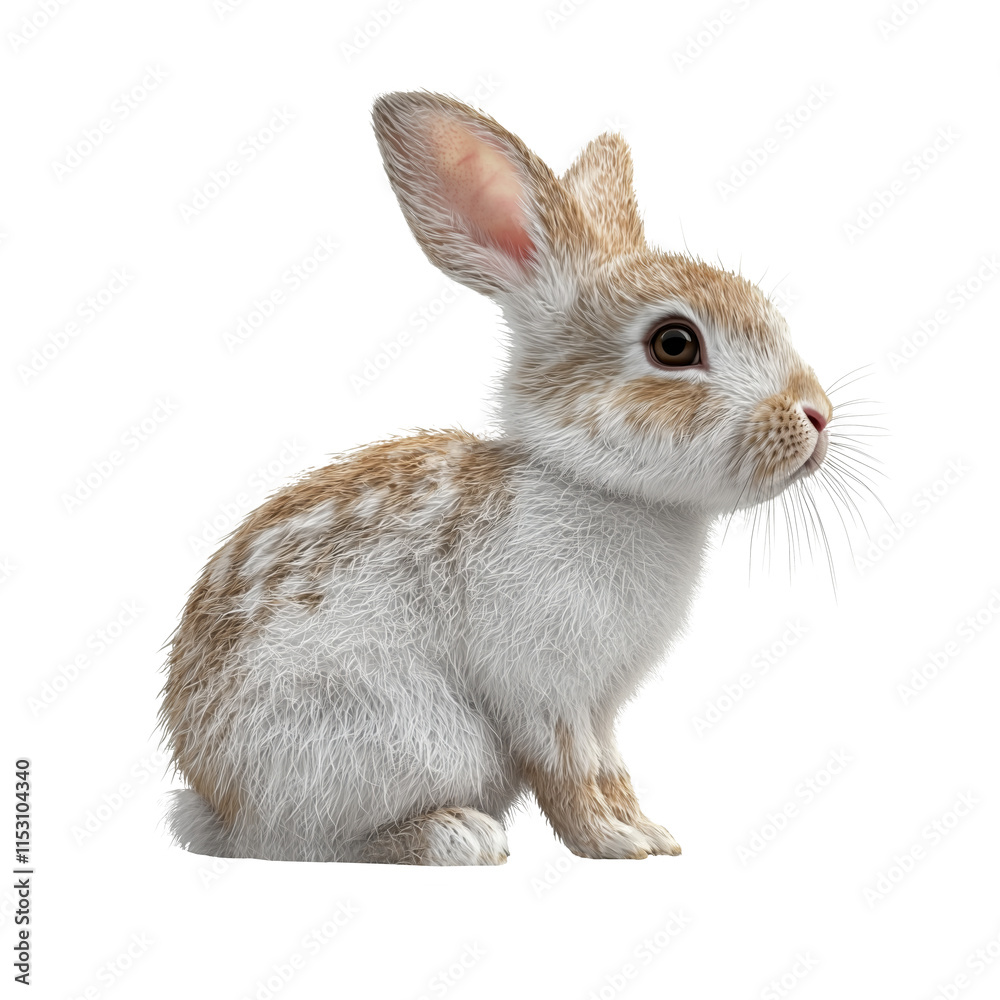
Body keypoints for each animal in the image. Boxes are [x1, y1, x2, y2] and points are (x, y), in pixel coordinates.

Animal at [159, 90, 836, 865]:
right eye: (674, 344)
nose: (817, 415)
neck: (594, 484)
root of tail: (224, 810)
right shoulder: (545, 692)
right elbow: (569, 771)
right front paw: (614, 842)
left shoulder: (598, 708)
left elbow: (610, 767)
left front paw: (648, 833)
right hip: (414, 737)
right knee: (317, 843)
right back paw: (456, 836)